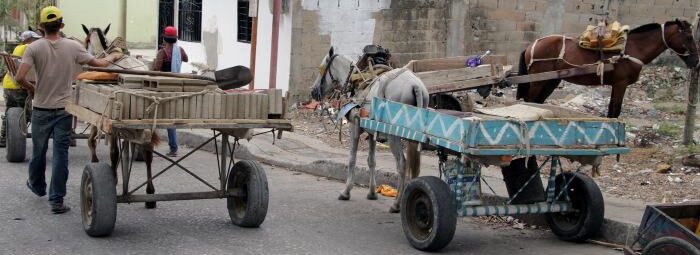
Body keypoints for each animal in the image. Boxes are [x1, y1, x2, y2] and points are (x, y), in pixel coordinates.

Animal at [310, 46, 430, 212]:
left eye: (321, 68)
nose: (313, 91)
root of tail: (416, 86)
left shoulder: (354, 127)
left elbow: (352, 159)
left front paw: (346, 191)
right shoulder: (372, 132)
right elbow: (371, 160)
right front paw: (372, 192)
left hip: (394, 136)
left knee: (402, 165)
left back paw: (396, 204)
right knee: (414, 167)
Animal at [516, 19, 696, 118]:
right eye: (688, 37)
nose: (696, 61)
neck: (632, 49)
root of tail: (531, 45)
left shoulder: (617, 84)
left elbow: (612, 109)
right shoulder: (621, 83)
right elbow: (615, 110)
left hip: (551, 80)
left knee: (539, 102)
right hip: (538, 81)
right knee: (530, 101)